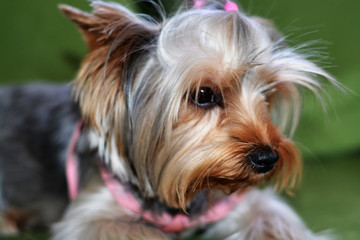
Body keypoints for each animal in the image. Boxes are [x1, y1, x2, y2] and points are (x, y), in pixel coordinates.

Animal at [0, 0, 338, 239]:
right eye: (204, 94)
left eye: (267, 95)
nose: (268, 158)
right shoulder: (92, 215)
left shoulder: (236, 202)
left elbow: (271, 215)